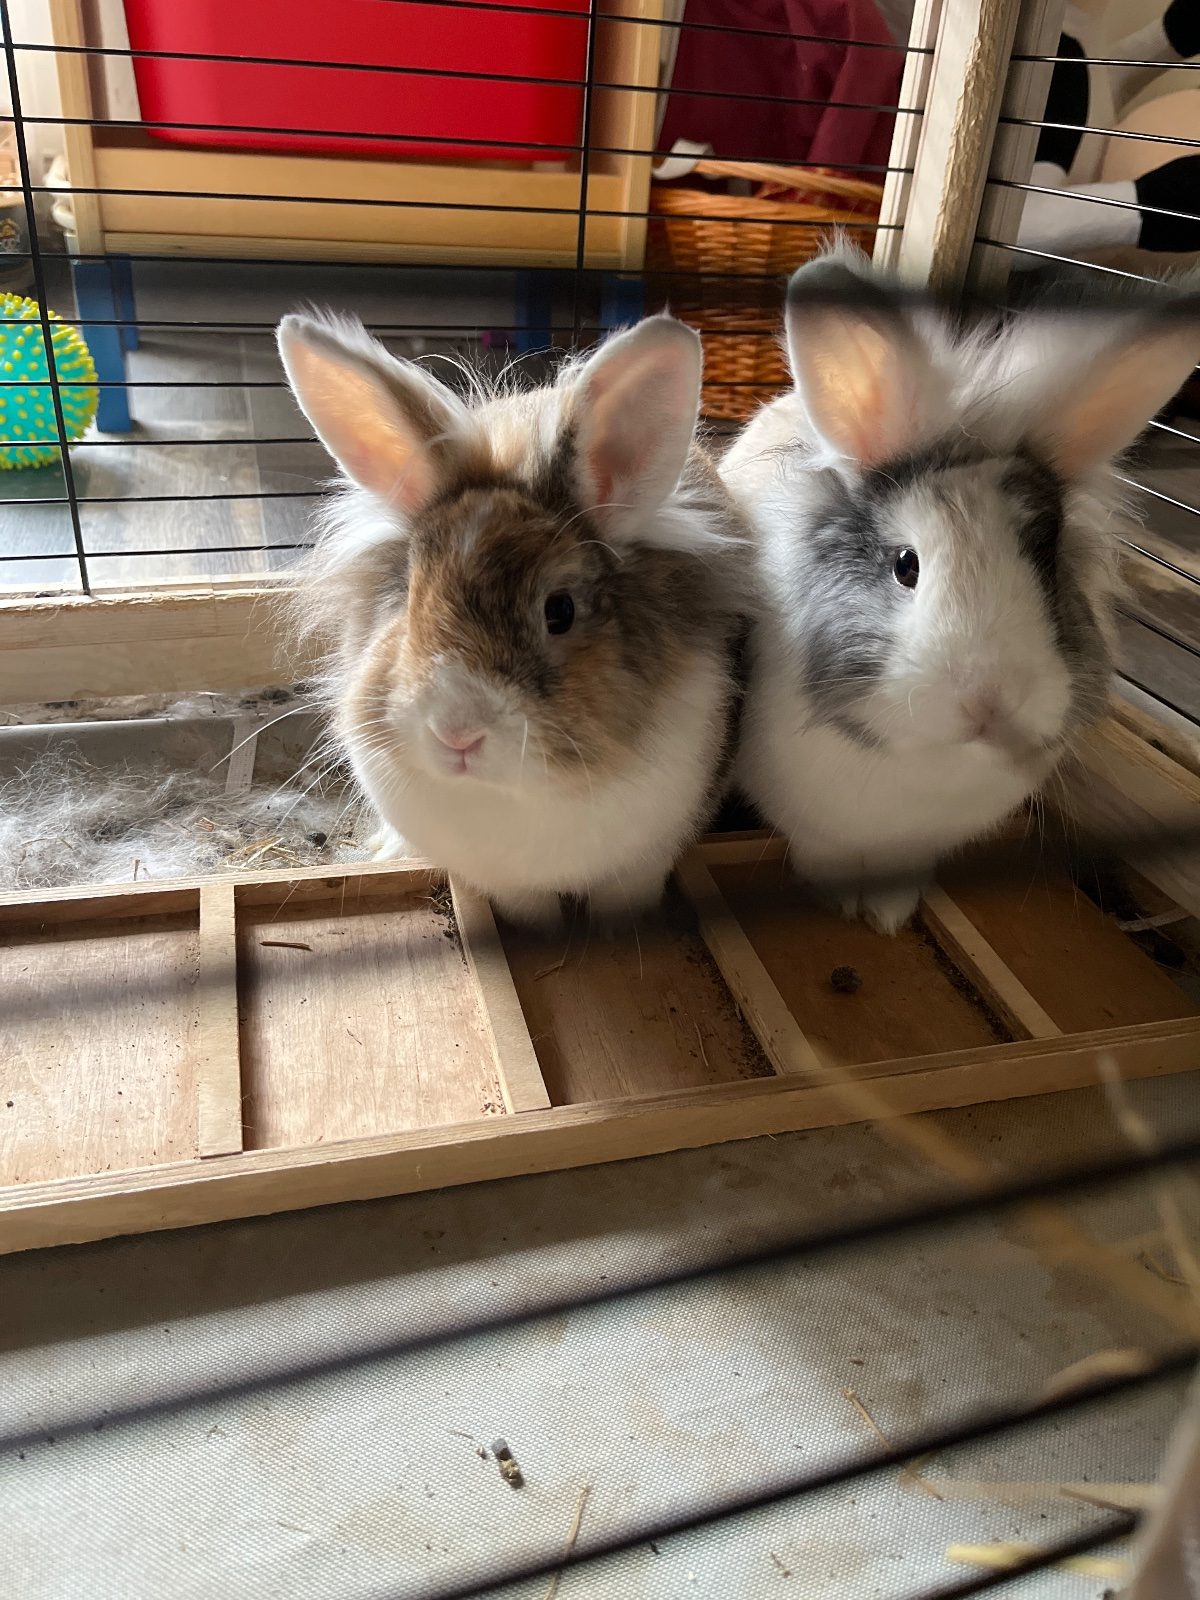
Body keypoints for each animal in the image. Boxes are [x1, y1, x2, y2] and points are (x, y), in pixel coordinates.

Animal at [277, 311, 752, 929]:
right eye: (406, 595)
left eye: (560, 610)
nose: (455, 732)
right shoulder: (505, 882)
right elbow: (530, 915)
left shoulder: (644, 861)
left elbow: (623, 906)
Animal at [720, 244, 1200, 934]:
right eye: (906, 565)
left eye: (1045, 561)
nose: (989, 702)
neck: (927, 767)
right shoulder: (815, 825)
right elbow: (823, 856)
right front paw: (842, 903)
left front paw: (890, 915)